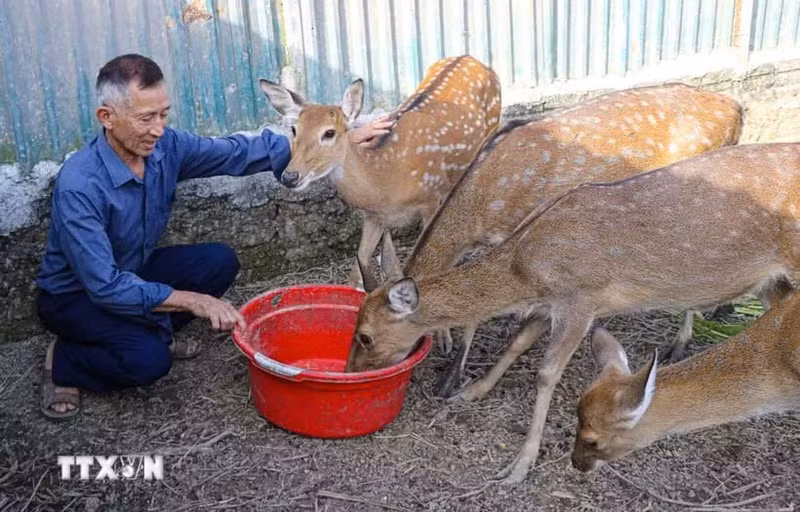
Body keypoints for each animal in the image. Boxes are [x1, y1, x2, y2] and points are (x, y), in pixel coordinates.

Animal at [259, 55, 501, 288]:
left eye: (329, 133)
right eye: (294, 130)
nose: (290, 176)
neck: (386, 179)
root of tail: (475, 60)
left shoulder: (430, 198)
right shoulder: (374, 216)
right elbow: (358, 268)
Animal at [370, 83, 744, 396]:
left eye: (372, 335)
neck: (481, 204)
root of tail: (736, 108)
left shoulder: (516, 229)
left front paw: (452, 379)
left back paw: (680, 343)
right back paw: (722, 308)